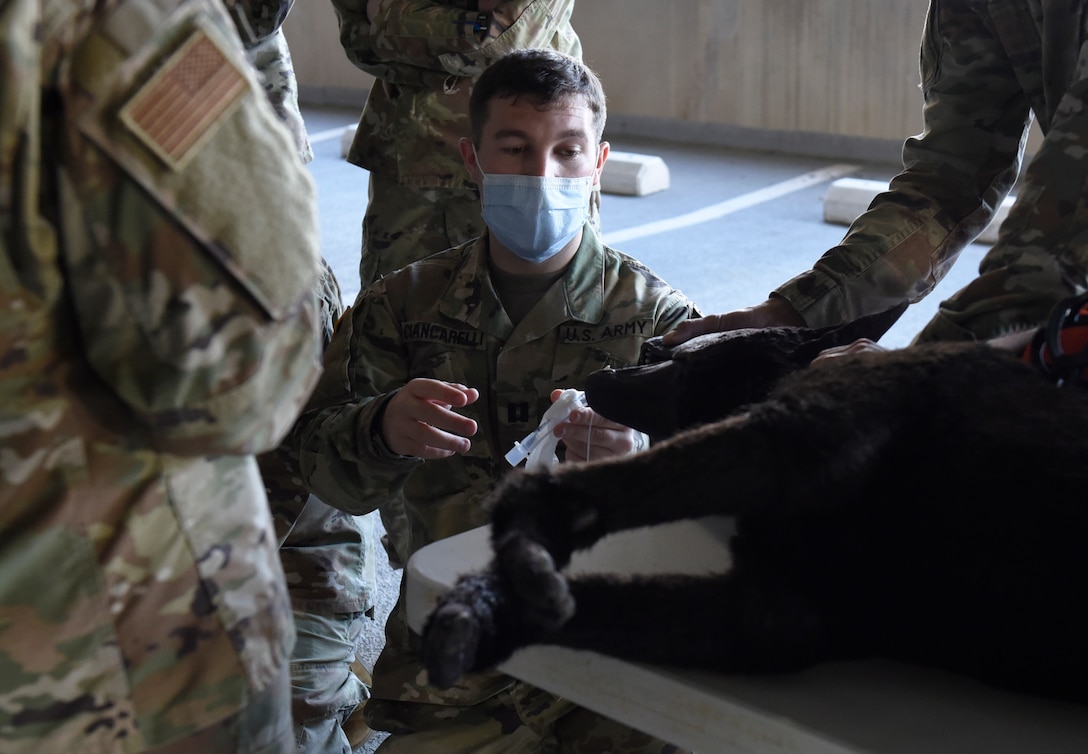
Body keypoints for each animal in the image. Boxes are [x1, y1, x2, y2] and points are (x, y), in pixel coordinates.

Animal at [419, 298, 1088, 700]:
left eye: (663, 352)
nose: (612, 365)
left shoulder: (801, 430)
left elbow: (590, 494)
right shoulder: (775, 615)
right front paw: (488, 612)